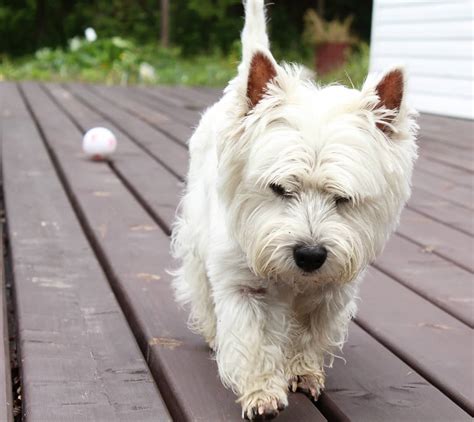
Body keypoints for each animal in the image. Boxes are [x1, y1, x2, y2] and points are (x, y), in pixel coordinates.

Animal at [170, 0, 418, 418]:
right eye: (279, 188)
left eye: (343, 199)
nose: (310, 255)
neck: (295, 279)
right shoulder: (242, 285)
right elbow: (252, 339)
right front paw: (261, 394)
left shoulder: (332, 291)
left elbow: (312, 334)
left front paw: (302, 372)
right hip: (195, 233)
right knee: (200, 287)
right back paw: (211, 332)